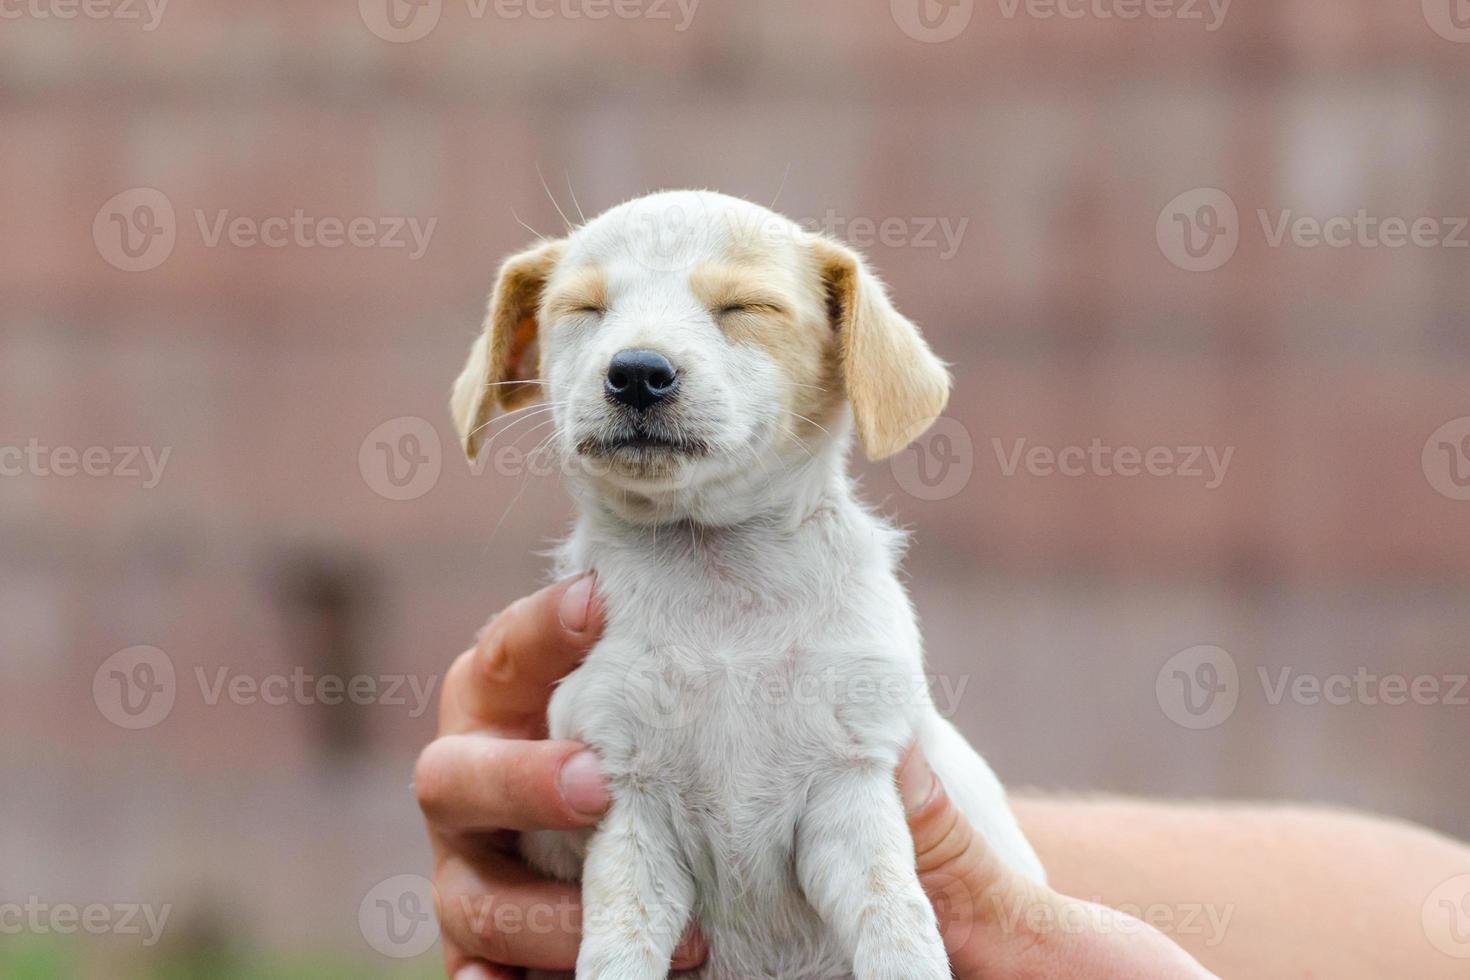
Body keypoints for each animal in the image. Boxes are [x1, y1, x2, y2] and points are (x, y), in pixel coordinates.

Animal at [452, 191, 1040, 980]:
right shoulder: (627, 802)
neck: (717, 579)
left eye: (745, 307)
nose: (636, 371)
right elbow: (618, 948)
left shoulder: (852, 786)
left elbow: (897, 926)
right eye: (584, 308)